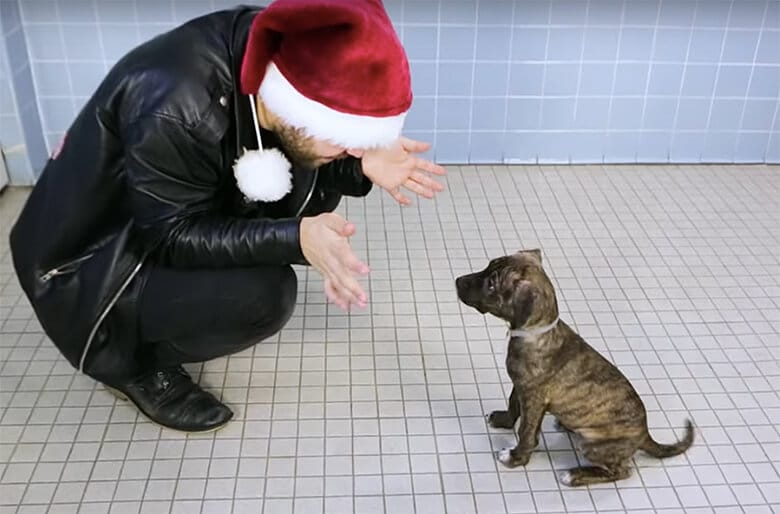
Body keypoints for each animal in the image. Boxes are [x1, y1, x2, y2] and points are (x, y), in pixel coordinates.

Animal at [454, 250, 692, 486]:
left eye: (491, 285)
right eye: (488, 265)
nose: (457, 281)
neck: (537, 332)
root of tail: (644, 433)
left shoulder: (533, 397)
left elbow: (526, 431)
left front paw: (516, 457)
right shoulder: (521, 386)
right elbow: (513, 404)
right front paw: (504, 420)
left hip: (592, 445)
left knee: (621, 471)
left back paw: (575, 475)